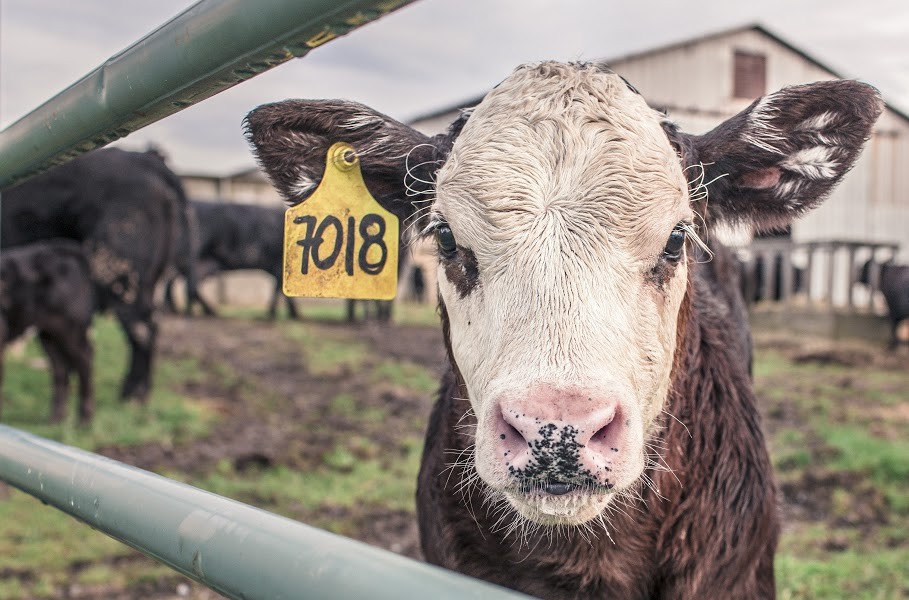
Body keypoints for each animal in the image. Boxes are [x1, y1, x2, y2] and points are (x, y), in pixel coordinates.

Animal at [0, 240, 95, 423]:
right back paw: (56, 418)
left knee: (84, 359)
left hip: (71, 329)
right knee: (60, 368)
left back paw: (84, 419)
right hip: (48, 334)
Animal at [1, 148, 195, 401]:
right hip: (150, 279)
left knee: (142, 329)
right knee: (151, 323)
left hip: (118, 271)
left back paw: (133, 393)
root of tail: (144, 158)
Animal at [163, 199, 298, 319]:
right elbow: (278, 289)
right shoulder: (279, 265)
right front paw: (274, 314)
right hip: (192, 257)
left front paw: (292, 314)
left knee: (182, 282)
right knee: (185, 283)